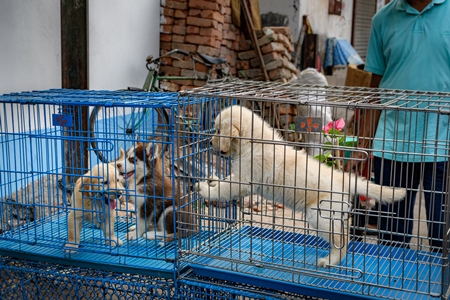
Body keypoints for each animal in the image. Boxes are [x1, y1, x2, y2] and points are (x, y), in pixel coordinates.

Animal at [195, 105, 406, 268]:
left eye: (217, 130)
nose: (209, 142)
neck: (252, 142)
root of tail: (344, 179)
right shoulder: (240, 175)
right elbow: (226, 180)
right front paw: (213, 179)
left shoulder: (245, 180)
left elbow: (225, 188)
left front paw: (205, 189)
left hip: (320, 214)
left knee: (342, 240)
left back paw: (329, 261)